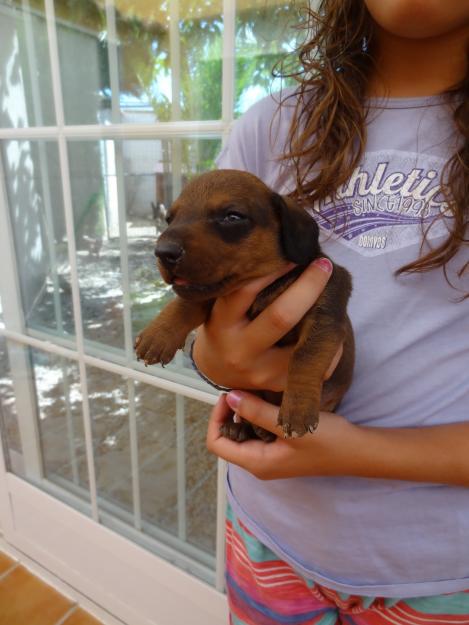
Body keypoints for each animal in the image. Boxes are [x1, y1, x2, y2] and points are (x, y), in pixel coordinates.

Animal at [133, 168, 352, 442]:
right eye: (170, 218)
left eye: (232, 216)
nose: (163, 252)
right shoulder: (208, 292)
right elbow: (185, 303)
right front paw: (158, 335)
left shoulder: (325, 314)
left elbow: (306, 354)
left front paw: (298, 408)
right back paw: (240, 427)